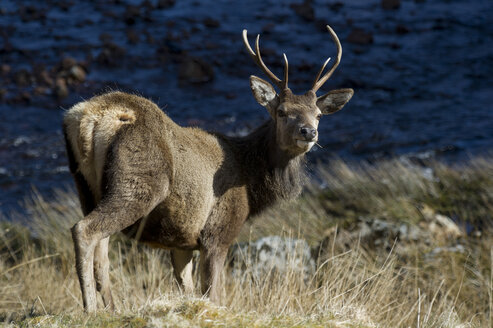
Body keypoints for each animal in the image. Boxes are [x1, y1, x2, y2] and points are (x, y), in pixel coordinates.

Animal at [62, 25, 354, 312]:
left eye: (318, 114)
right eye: (281, 111)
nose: (309, 132)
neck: (250, 183)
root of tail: (90, 117)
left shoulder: (182, 240)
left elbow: (187, 289)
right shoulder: (218, 232)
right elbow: (213, 295)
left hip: (86, 187)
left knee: (101, 250)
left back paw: (112, 309)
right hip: (138, 182)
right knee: (84, 230)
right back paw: (90, 310)